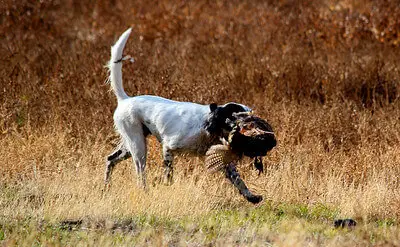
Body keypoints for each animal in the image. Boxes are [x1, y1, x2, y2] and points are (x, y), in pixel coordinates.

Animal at [104, 28, 252, 187]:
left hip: (130, 145)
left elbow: (241, 184)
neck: (207, 126)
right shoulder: (168, 147)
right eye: (239, 116)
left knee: (110, 159)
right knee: (140, 174)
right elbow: (168, 175)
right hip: (138, 147)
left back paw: (106, 188)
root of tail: (125, 99)